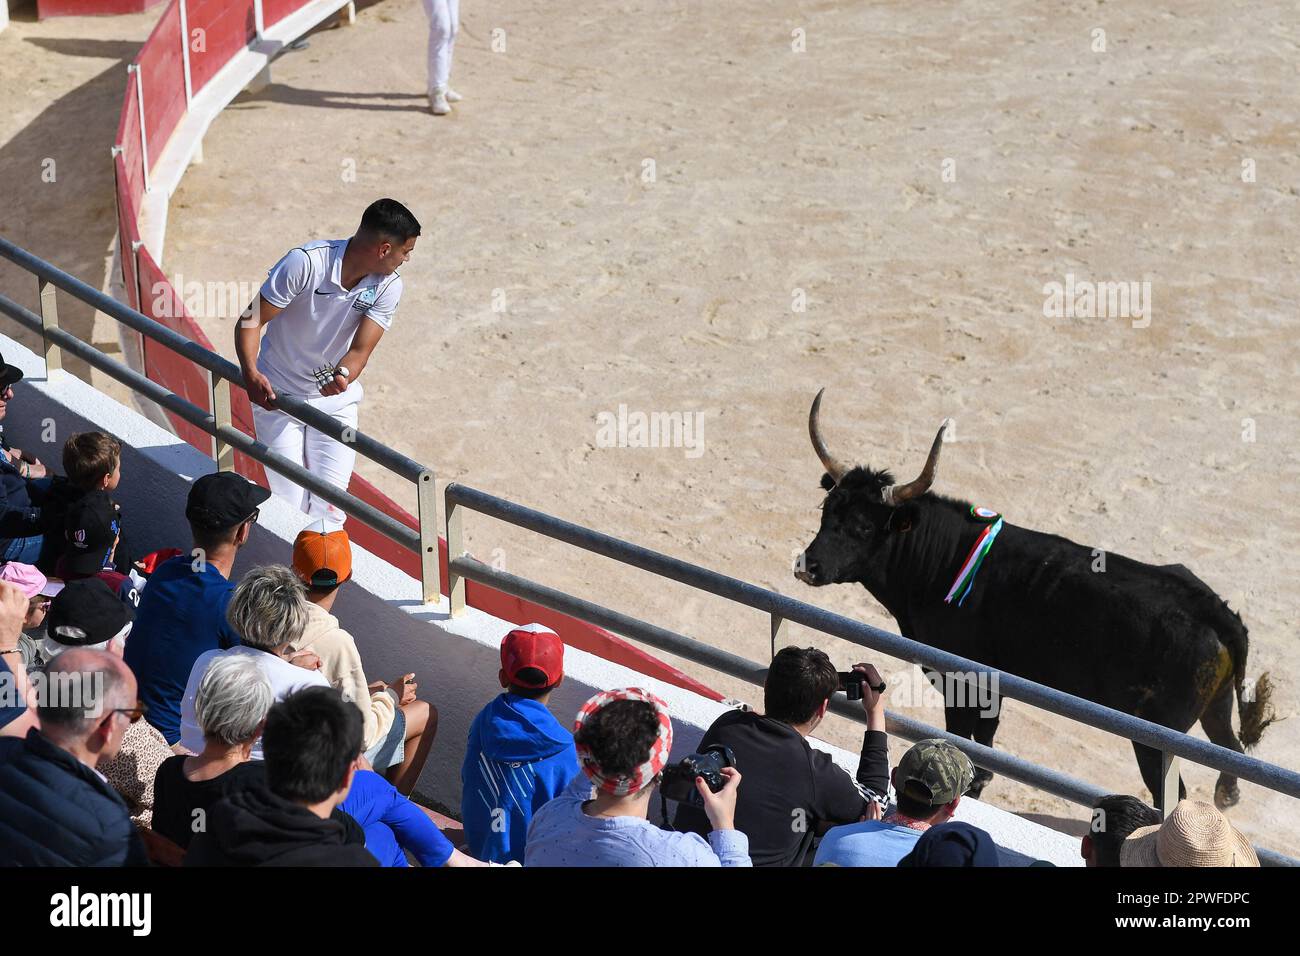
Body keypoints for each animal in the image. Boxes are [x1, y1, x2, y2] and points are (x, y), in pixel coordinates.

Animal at [795, 392, 1274, 811]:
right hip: (1216, 706)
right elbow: (984, 739)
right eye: (826, 511)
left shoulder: (965, 680)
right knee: (1229, 749)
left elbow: (968, 736)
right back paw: (1227, 795)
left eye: (862, 527)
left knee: (1174, 792)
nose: (808, 566)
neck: (942, 560)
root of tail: (1212, 608)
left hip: (1156, 738)